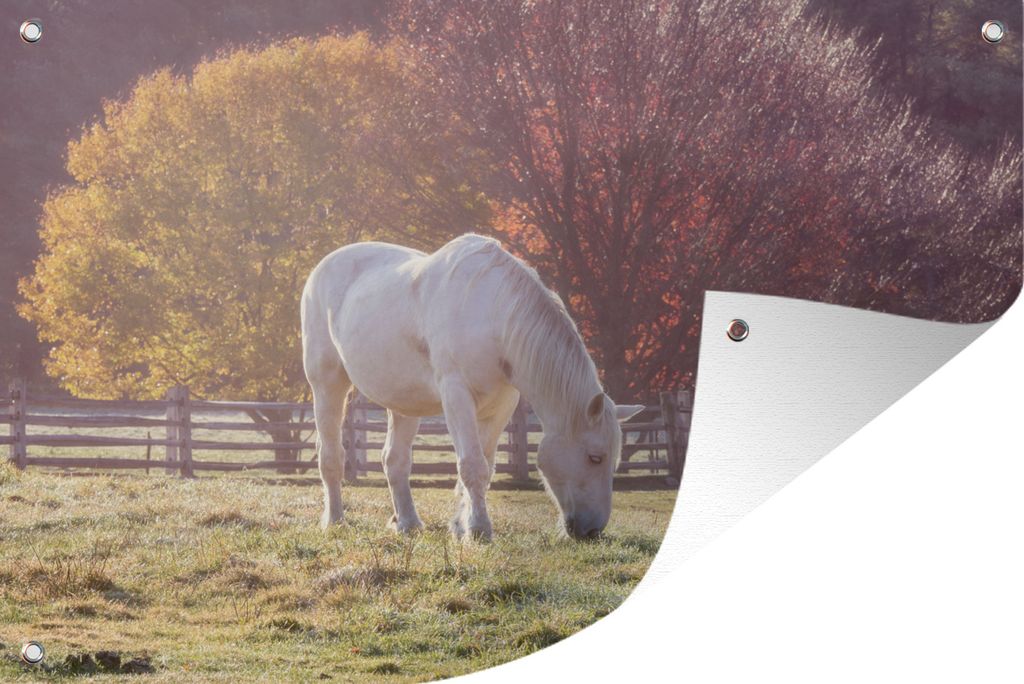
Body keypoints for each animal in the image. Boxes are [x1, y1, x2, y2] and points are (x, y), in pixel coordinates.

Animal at [300, 234, 643, 540]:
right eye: (595, 457)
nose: (592, 530)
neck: (493, 314)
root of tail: (321, 268)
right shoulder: (457, 397)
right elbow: (472, 465)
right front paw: (479, 529)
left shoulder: (501, 405)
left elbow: (485, 467)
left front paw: (461, 525)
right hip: (327, 385)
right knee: (331, 456)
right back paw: (335, 520)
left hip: (404, 403)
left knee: (394, 461)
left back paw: (408, 523)